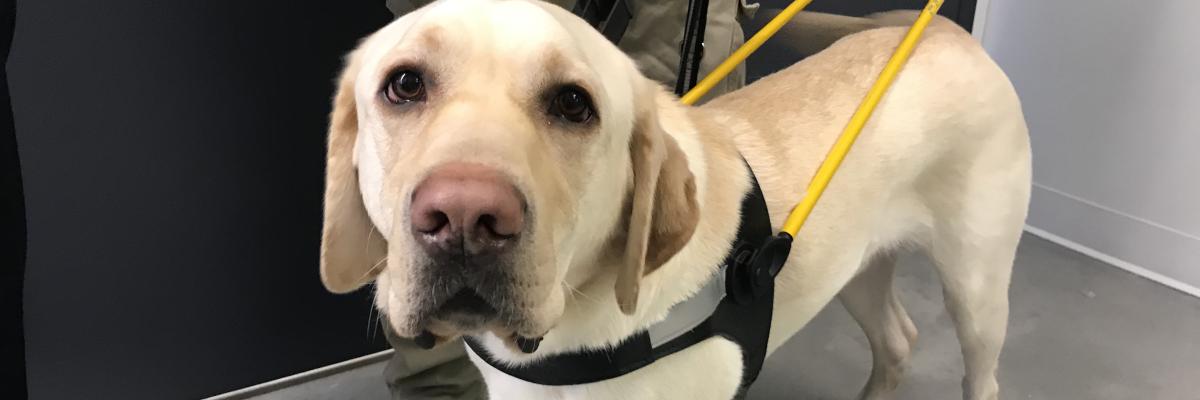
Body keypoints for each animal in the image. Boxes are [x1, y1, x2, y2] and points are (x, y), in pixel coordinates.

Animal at [319, 1, 1032, 396]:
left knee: (983, 372)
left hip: (976, 289)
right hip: (855, 265)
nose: (465, 216)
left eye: (573, 104)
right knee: (900, 340)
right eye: (404, 85)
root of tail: (948, 31)